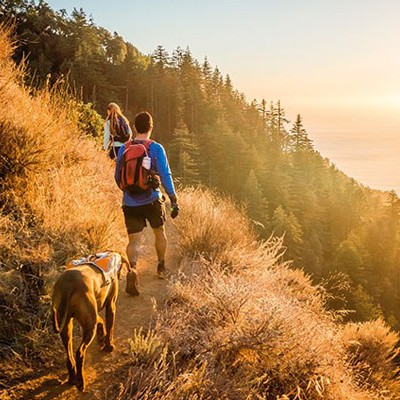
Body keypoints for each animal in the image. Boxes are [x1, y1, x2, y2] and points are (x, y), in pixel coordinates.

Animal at [51, 253, 129, 390]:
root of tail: (67, 284)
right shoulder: (111, 306)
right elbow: (110, 327)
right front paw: (108, 345)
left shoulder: (92, 313)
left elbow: (101, 320)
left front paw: (101, 337)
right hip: (88, 327)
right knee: (80, 353)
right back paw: (81, 381)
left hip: (67, 325)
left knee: (69, 356)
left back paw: (72, 377)